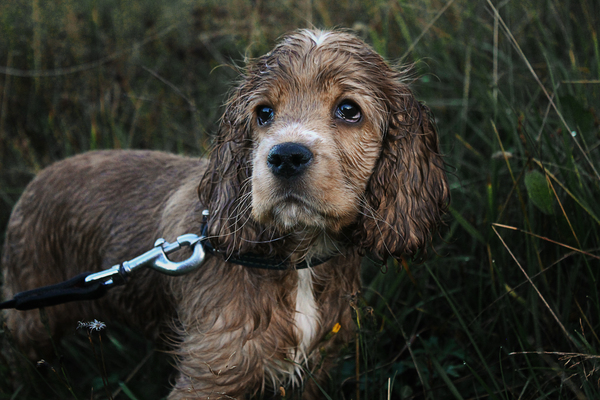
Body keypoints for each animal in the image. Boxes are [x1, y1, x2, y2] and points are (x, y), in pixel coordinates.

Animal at [1, 29, 450, 398]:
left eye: (349, 110)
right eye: (264, 113)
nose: (286, 157)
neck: (293, 258)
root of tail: (38, 178)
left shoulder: (317, 367)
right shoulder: (210, 372)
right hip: (32, 319)